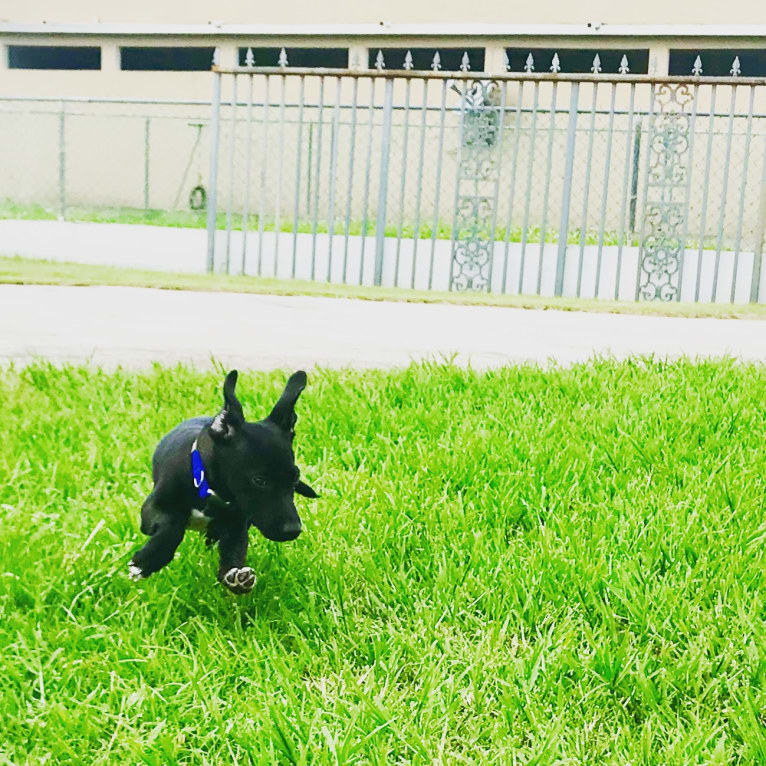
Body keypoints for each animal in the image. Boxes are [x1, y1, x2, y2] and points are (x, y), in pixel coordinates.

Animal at [129, 368, 318, 596]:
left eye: (295, 478)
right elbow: (172, 525)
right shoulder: (151, 510)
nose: (293, 530)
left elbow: (233, 553)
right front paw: (148, 560)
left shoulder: (237, 524)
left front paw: (235, 576)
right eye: (259, 480)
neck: (211, 491)